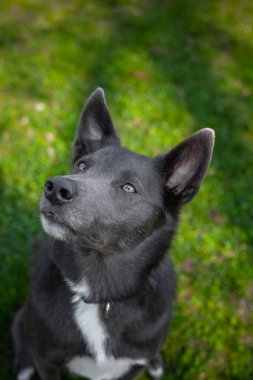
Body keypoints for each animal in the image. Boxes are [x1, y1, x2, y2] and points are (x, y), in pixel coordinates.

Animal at [11, 87, 213, 378]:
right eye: (82, 166)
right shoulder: (46, 359)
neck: (98, 295)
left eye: (129, 188)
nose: (55, 188)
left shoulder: (132, 366)